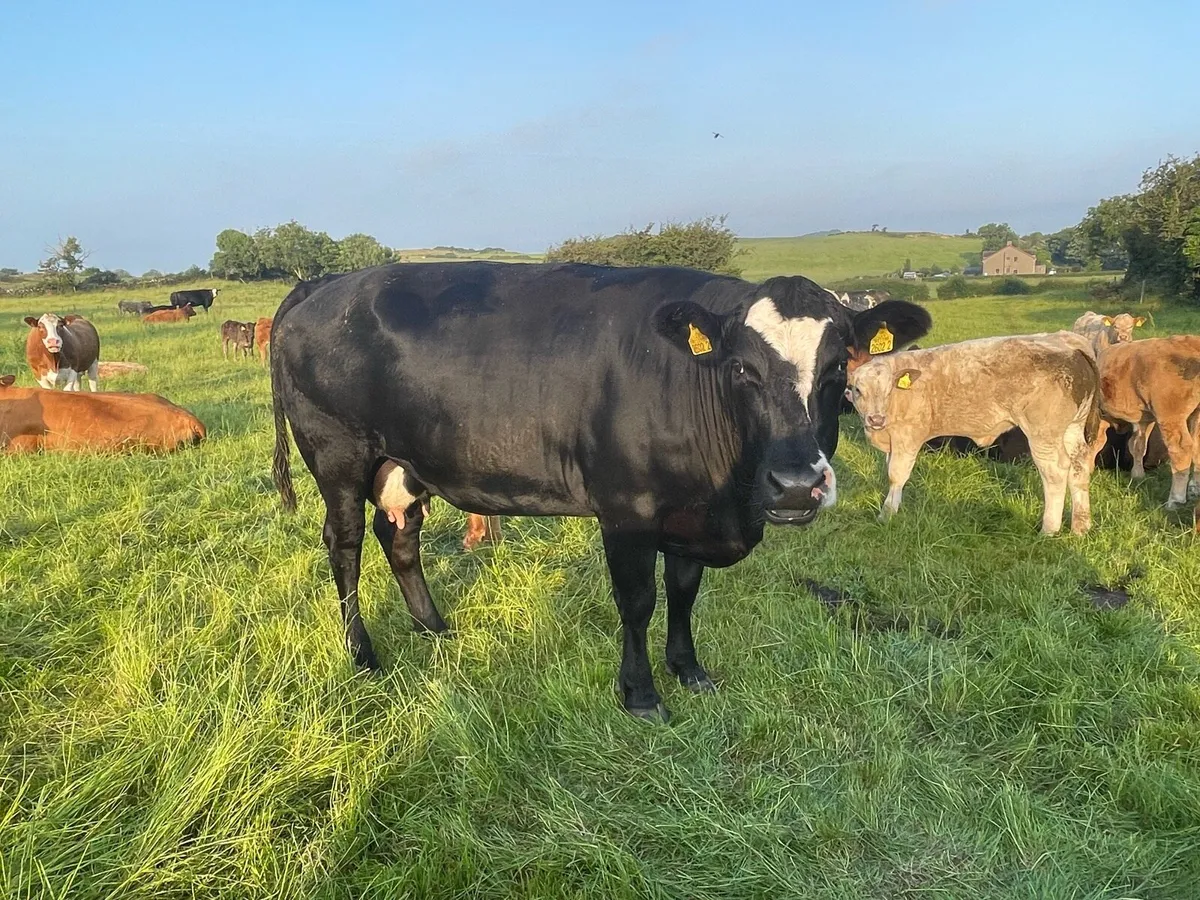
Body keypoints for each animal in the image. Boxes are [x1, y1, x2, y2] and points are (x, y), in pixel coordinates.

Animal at [270, 262, 931, 721]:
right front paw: (641, 694)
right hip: (339, 455)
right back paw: (363, 654)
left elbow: (684, 593)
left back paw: (434, 626)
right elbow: (638, 603)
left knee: (400, 535)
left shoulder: (691, 516)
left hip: (401, 462)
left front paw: (688, 670)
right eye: (742, 368)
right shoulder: (627, 511)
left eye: (838, 369)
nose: (796, 485)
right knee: (346, 544)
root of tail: (324, 285)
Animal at [846, 331, 1101, 535]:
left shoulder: (907, 436)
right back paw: (1081, 527)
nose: (876, 419)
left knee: (1055, 472)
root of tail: (1066, 341)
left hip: (1043, 434)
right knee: (1079, 466)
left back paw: (1049, 529)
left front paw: (886, 514)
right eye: (857, 389)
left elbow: (896, 475)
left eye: (888, 390)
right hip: (1072, 428)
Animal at [1096, 335, 1200, 508]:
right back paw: (1194, 487)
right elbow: (1137, 445)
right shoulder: (1145, 419)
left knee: (1181, 450)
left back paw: (1175, 499)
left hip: (1170, 417)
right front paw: (1137, 474)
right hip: (1195, 415)